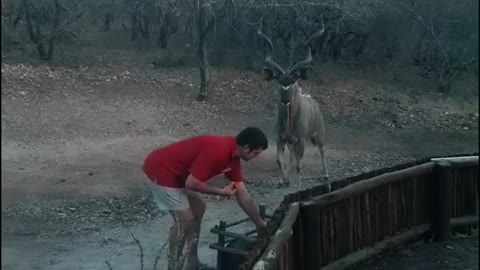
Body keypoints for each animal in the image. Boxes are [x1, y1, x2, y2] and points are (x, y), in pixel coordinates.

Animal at [256, 19, 328, 189]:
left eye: (292, 81)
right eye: (279, 81)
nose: (285, 100)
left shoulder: (300, 140)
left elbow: (299, 165)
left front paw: (298, 186)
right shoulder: (280, 139)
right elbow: (279, 160)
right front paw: (284, 180)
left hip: (319, 135)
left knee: (322, 150)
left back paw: (326, 175)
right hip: (292, 143)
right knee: (292, 157)